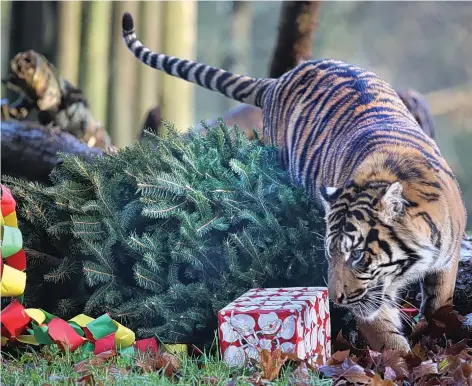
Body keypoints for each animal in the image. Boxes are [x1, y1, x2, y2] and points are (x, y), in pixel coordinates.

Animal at [121, 12, 464, 352]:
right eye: (329, 254)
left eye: (356, 255)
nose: (336, 299)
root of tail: (279, 79)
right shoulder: (374, 294)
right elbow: (385, 334)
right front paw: (401, 359)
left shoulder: (444, 262)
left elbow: (439, 302)